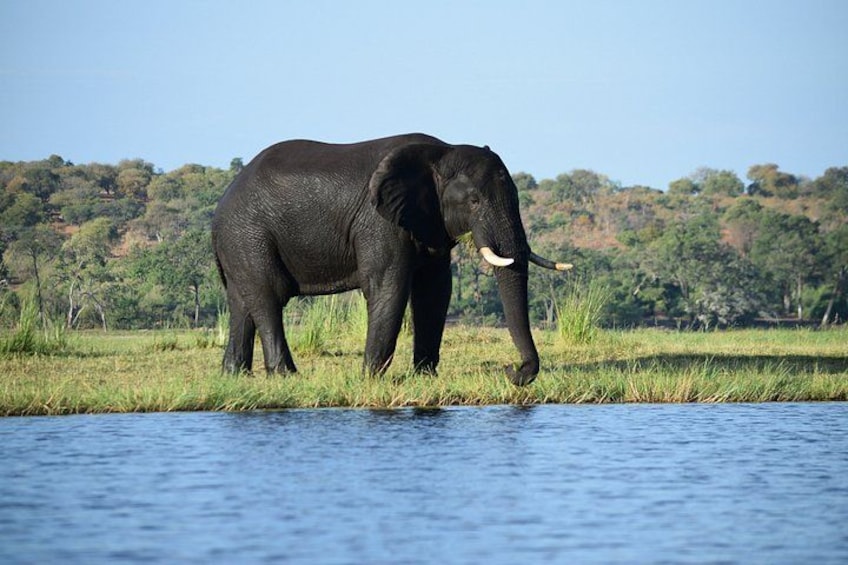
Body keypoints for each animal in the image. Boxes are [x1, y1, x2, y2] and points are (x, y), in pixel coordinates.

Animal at [211, 133, 570, 386]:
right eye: (474, 201)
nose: (513, 371)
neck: (442, 152)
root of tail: (222, 202)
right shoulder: (379, 222)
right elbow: (388, 286)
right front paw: (370, 378)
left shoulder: (429, 222)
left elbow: (435, 291)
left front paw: (425, 378)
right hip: (248, 234)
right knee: (268, 296)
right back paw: (286, 375)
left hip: (240, 241)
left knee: (242, 302)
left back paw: (234, 375)